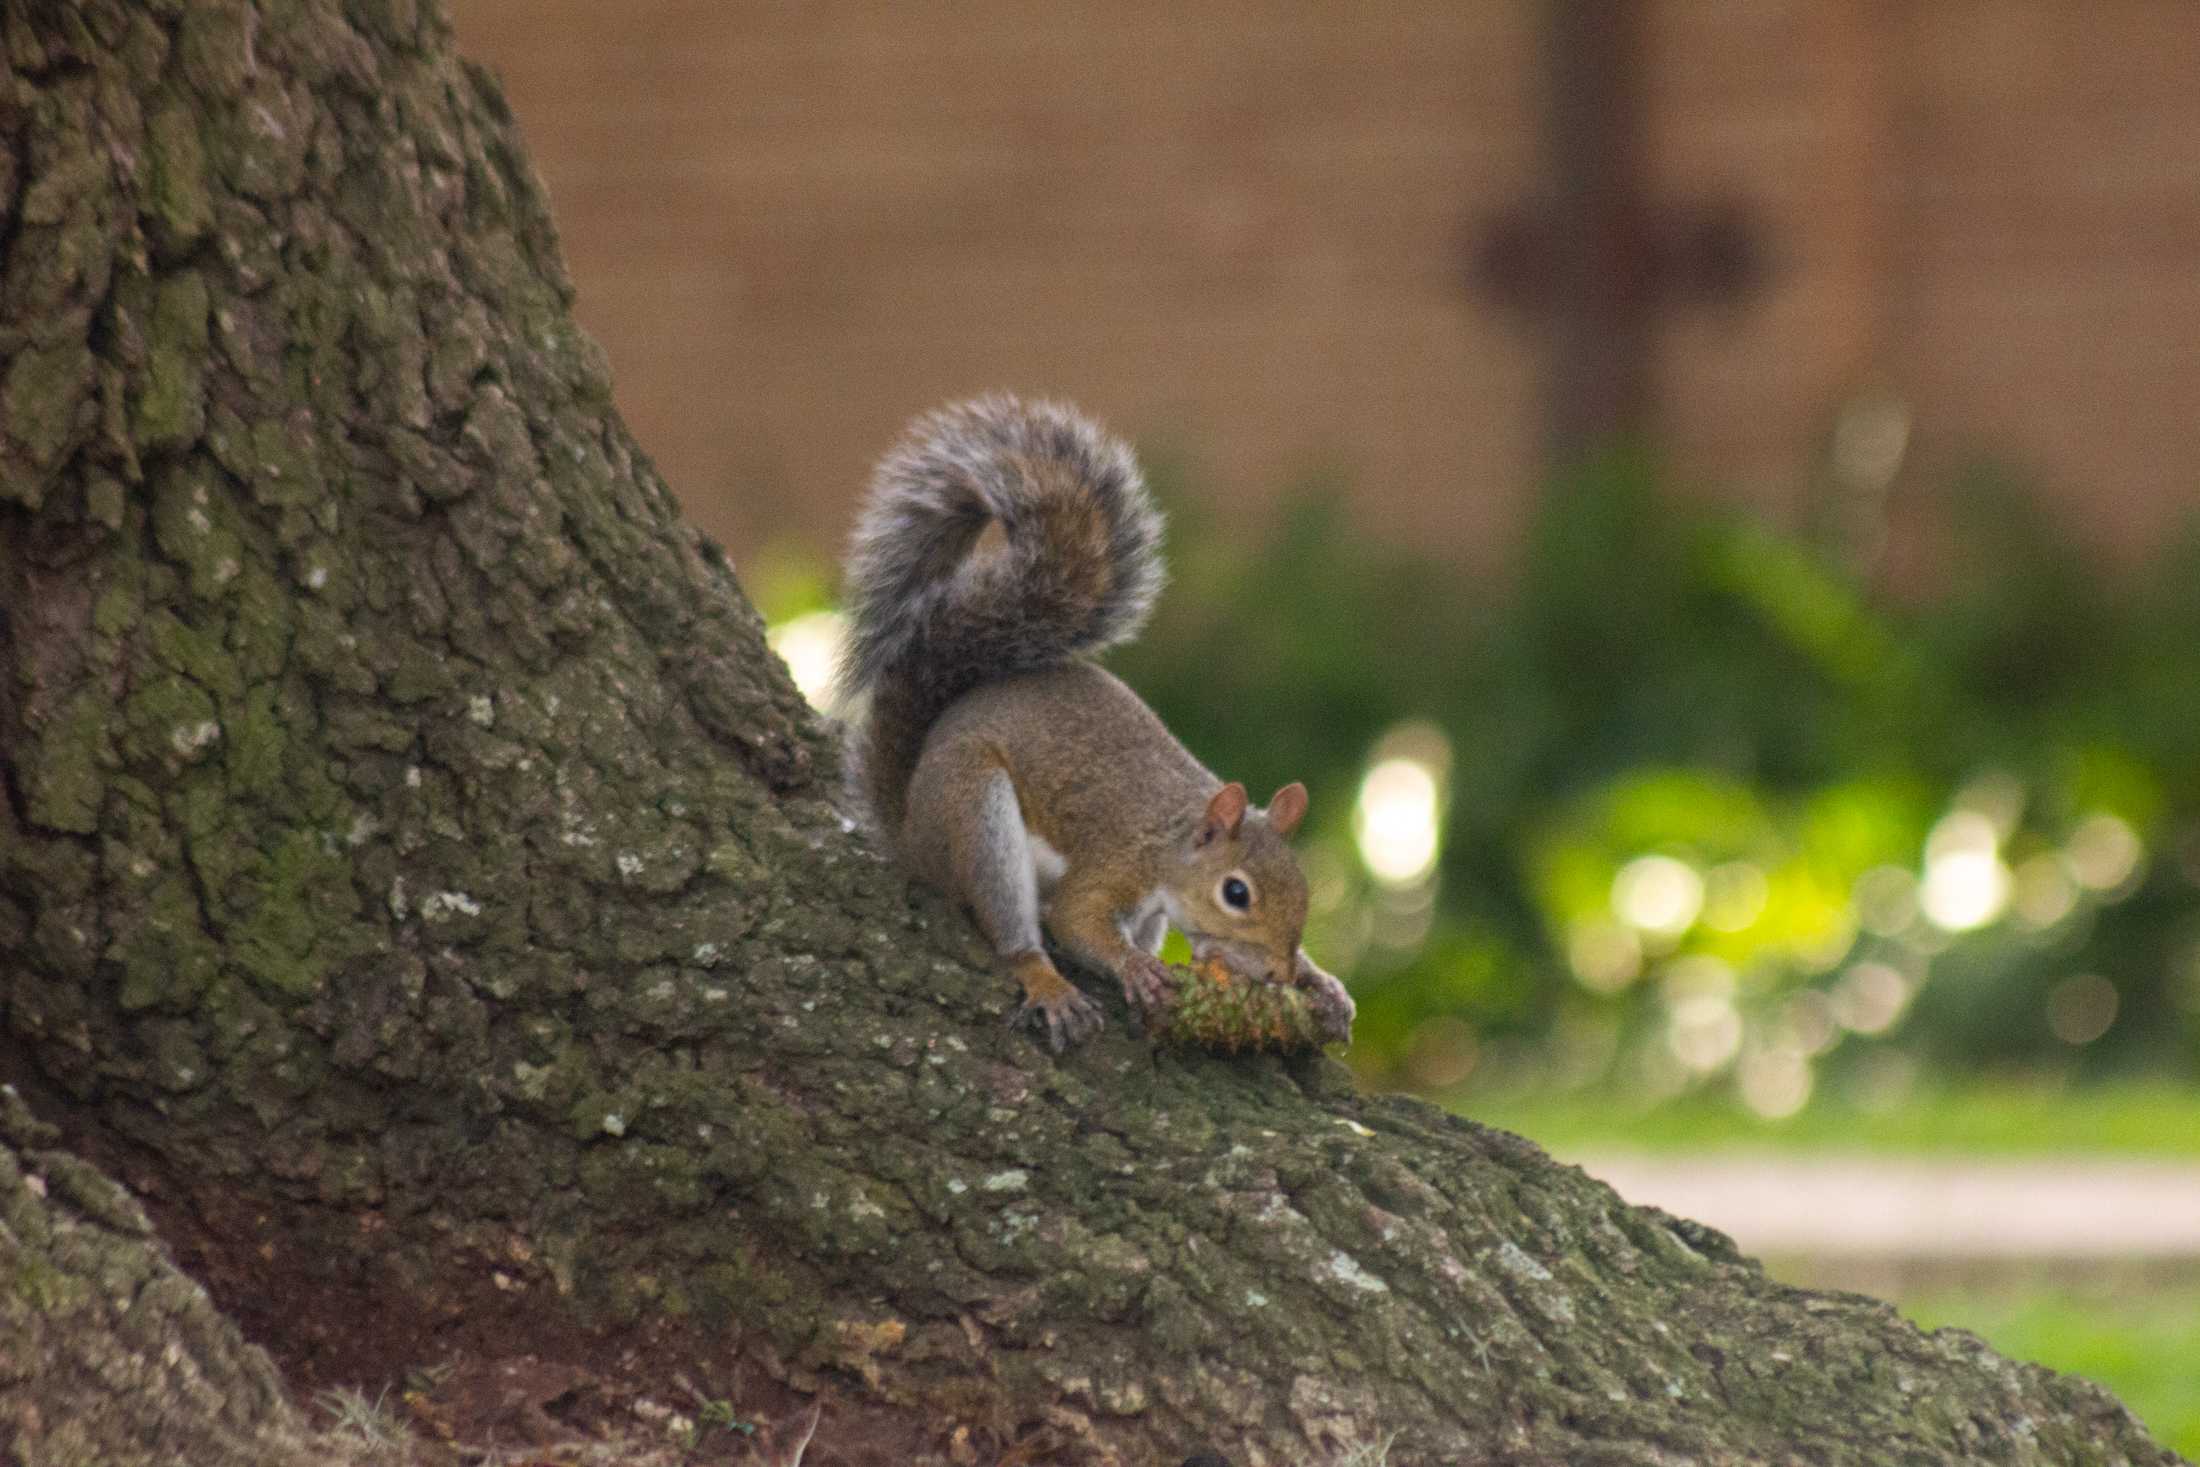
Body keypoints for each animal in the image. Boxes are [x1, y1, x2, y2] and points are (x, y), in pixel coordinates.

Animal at [831, 395, 1346, 1051]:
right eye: (1236, 893)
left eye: (1302, 889)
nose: (1279, 970)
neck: (1173, 840)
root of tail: (910, 834)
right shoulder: (1117, 861)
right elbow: (1076, 918)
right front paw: (1133, 968)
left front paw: (1322, 983)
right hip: (973, 811)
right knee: (1011, 925)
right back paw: (1046, 981)